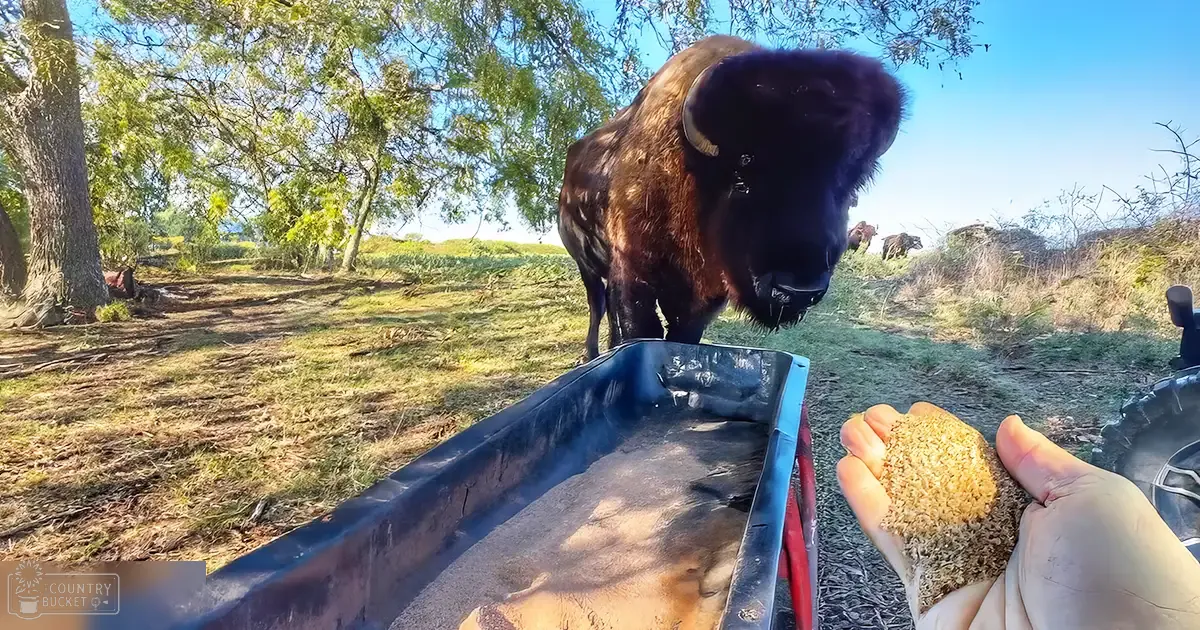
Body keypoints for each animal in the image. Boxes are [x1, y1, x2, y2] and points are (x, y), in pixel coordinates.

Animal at [558, 35, 905, 359]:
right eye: (741, 176)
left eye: (851, 184)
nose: (797, 291)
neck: (694, 174)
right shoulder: (633, 276)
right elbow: (638, 329)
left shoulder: (703, 299)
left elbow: (682, 335)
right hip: (587, 266)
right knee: (596, 305)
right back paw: (589, 354)